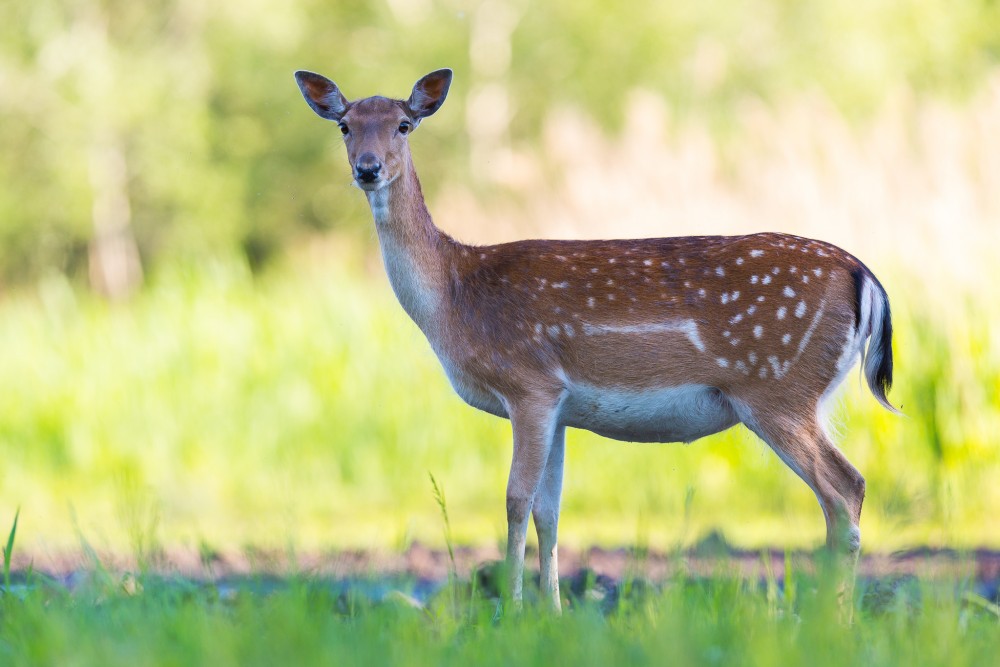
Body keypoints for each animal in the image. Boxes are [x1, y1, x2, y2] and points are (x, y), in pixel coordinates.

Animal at [292, 70, 896, 612]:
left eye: (404, 124)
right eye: (345, 125)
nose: (368, 169)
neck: (455, 295)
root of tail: (865, 276)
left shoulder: (528, 383)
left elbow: (514, 500)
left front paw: (512, 612)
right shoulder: (560, 407)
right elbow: (550, 511)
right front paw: (554, 614)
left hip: (777, 385)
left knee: (845, 487)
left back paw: (833, 621)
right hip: (802, 392)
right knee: (840, 495)